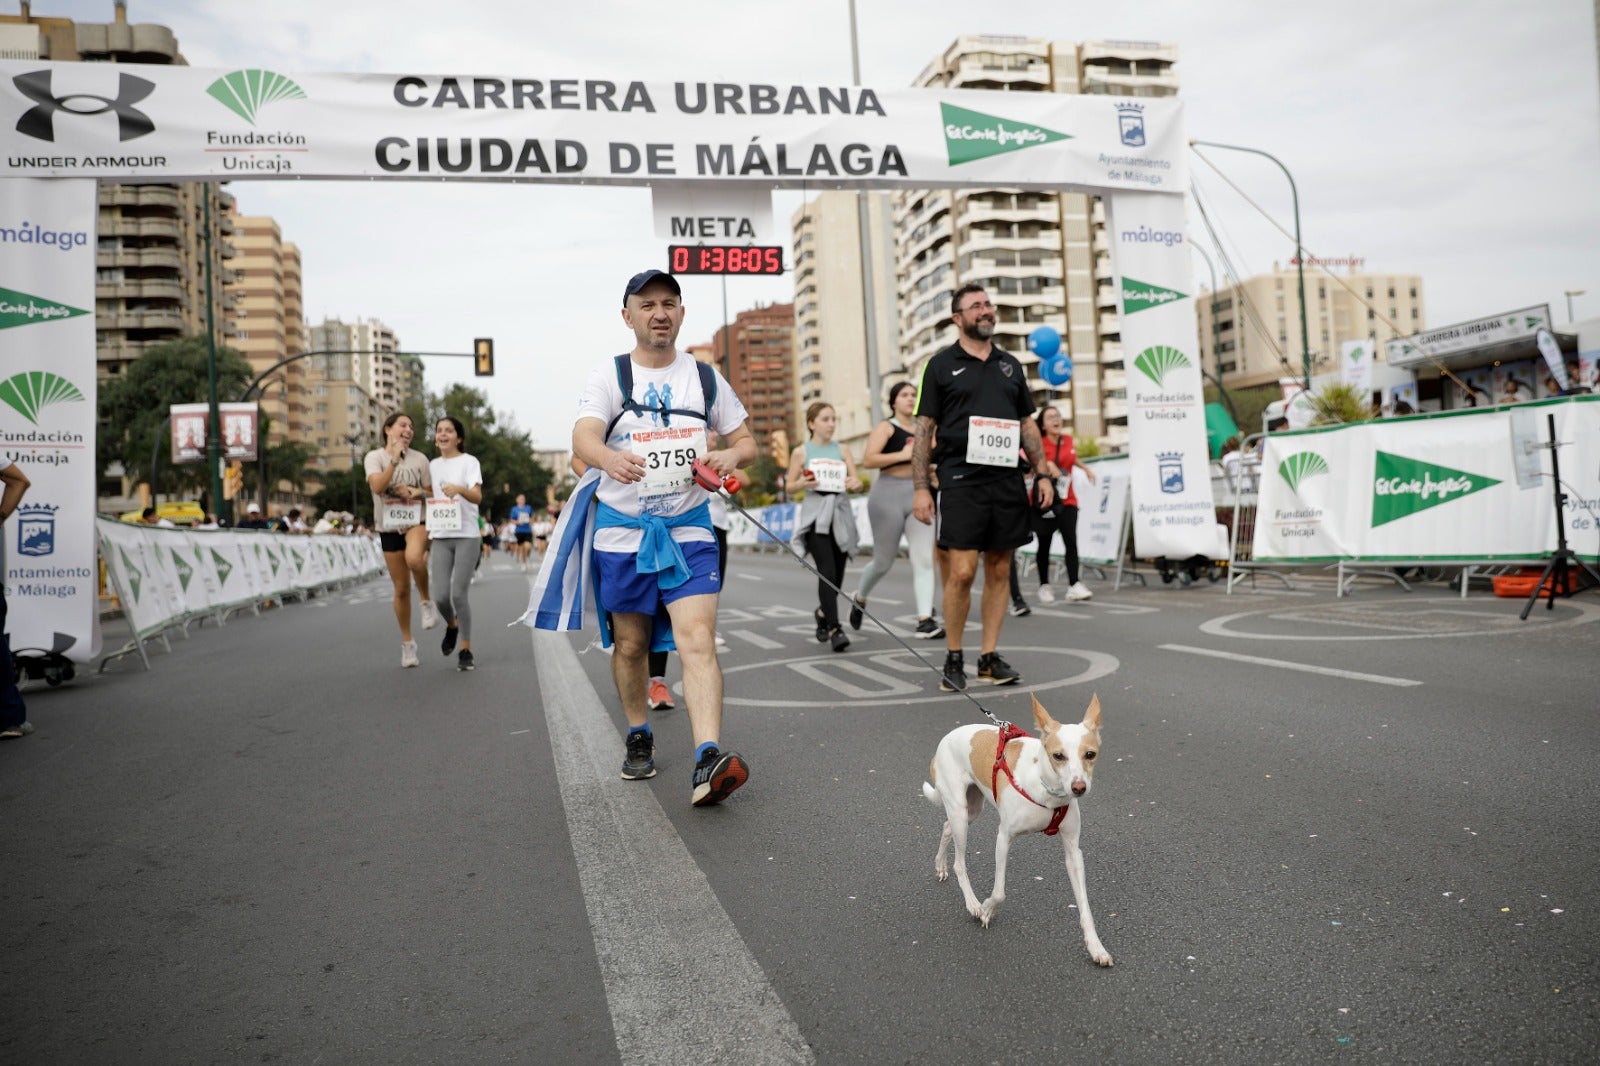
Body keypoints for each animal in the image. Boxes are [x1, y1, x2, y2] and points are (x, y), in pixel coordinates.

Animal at [928, 694, 1113, 960]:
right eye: (1058, 756)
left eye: (1090, 754)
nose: (1079, 788)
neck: (1047, 790)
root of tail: (944, 740)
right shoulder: (1003, 838)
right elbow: (999, 892)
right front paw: (987, 909)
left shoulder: (1073, 852)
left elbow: (1085, 908)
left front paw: (1095, 947)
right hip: (960, 813)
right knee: (959, 863)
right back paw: (972, 903)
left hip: (970, 810)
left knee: (945, 827)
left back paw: (940, 865)